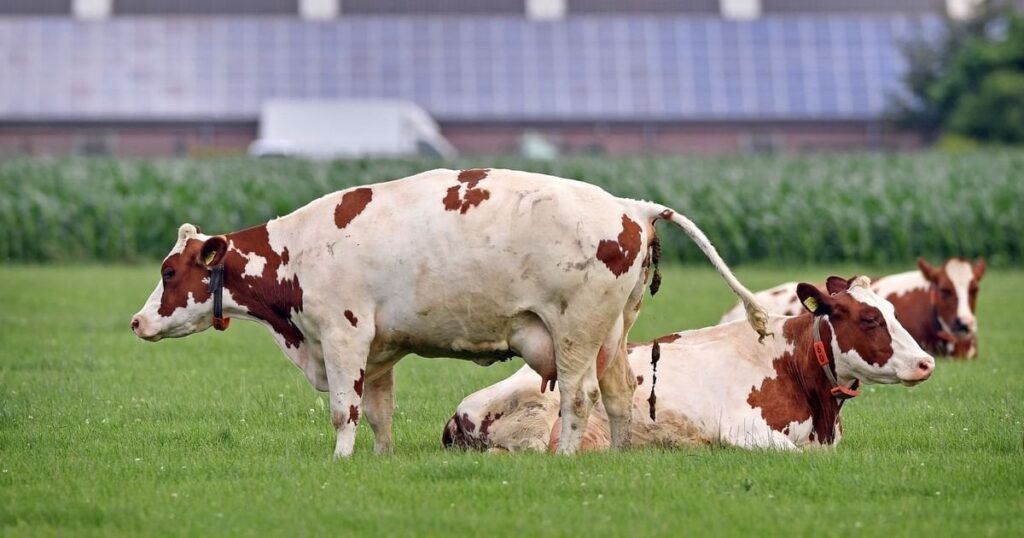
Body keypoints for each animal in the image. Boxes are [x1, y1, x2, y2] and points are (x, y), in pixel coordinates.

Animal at [131, 168, 769, 457]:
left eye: (169, 272)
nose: (137, 321)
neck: (299, 251)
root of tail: (629, 206)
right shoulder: (380, 350)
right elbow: (379, 413)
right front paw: (380, 461)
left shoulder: (342, 336)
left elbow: (344, 411)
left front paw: (340, 460)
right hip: (612, 332)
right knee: (617, 394)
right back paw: (617, 455)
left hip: (576, 332)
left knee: (578, 395)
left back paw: (567, 456)